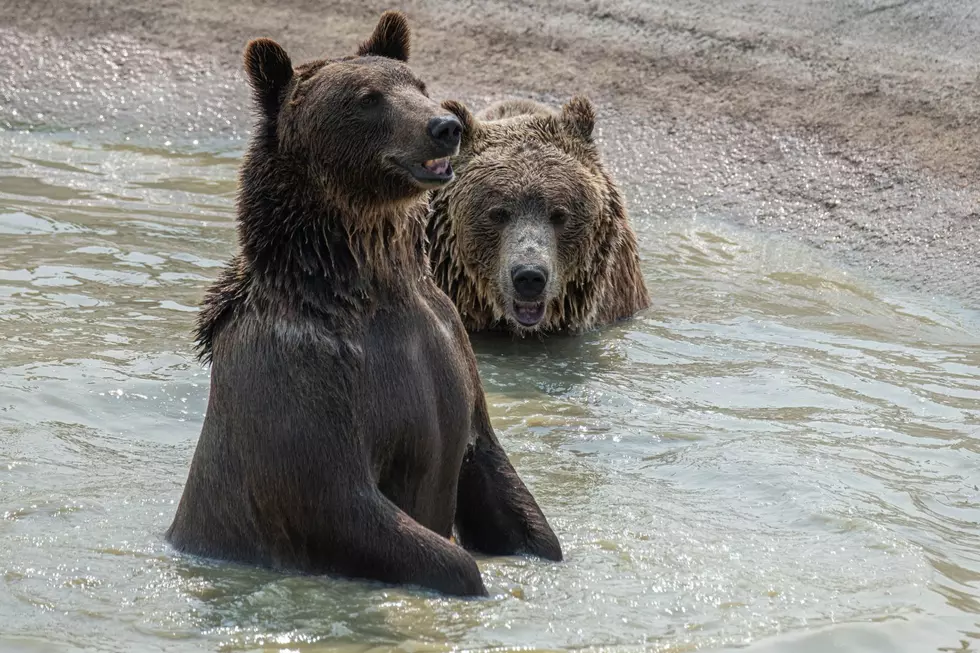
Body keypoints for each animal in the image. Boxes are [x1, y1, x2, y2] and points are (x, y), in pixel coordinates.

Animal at [168, 11, 560, 600]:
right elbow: (340, 502)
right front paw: (470, 579)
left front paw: (540, 551)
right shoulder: (306, 377)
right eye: (367, 98)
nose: (444, 126)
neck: (367, 285)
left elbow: (492, 470)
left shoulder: (449, 347)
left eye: (418, 84)